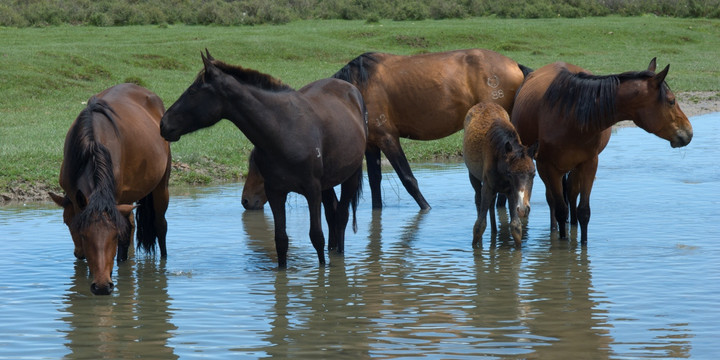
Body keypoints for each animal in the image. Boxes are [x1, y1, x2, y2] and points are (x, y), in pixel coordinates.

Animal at [49, 84, 172, 296]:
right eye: (82, 233)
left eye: (113, 236)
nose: (102, 287)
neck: (92, 146)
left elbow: (124, 235)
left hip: (161, 187)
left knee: (159, 225)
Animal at [161, 50, 368, 268]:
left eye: (192, 91)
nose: (163, 124)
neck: (283, 129)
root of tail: (351, 89)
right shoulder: (276, 191)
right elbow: (281, 241)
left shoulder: (312, 190)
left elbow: (316, 237)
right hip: (327, 184)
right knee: (332, 214)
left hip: (350, 176)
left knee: (342, 217)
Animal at [330, 48, 528, 211]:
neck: (359, 88)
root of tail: (515, 65)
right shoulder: (372, 144)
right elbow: (374, 182)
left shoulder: (387, 138)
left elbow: (408, 179)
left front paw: (426, 208)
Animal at [464, 102, 536, 246]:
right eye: (511, 174)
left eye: (533, 174)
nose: (523, 209)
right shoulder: (488, 186)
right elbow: (479, 225)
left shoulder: (510, 191)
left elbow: (516, 227)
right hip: (473, 177)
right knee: (478, 200)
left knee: (492, 204)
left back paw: (494, 231)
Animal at [512, 59, 692, 243]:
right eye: (671, 101)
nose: (689, 132)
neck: (571, 116)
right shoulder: (548, 167)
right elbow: (561, 210)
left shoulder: (589, 163)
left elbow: (584, 212)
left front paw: (583, 245)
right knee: (553, 201)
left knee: (571, 193)